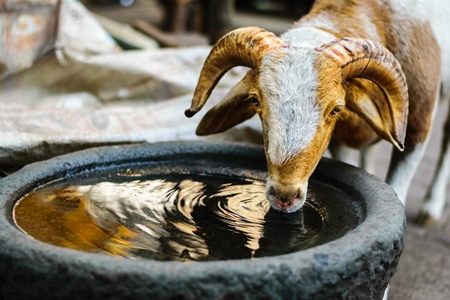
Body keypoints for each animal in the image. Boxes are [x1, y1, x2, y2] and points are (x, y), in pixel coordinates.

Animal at [184, 0, 450, 225]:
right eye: (254, 100)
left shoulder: (417, 128)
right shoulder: (340, 140)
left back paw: (430, 210)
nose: (284, 196)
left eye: (336, 108)